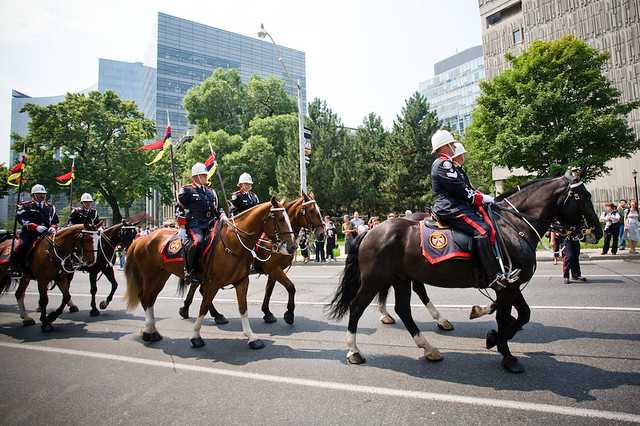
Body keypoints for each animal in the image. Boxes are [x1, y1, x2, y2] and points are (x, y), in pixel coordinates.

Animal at [124, 198, 296, 348]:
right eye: (280, 218)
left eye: (288, 217)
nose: (293, 246)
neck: (234, 242)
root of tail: (141, 239)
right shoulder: (214, 283)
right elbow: (203, 307)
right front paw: (195, 336)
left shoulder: (242, 281)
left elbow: (244, 308)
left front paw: (252, 337)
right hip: (150, 276)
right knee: (146, 298)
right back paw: (150, 331)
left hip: (161, 275)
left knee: (150, 299)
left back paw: (154, 330)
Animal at [178, 194, 322, 326]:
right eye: (311, 210)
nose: (322, 233)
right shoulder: (273, 269)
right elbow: (290, 287)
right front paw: (289, 314)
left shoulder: (274, 270)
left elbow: (269, 290)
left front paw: (267, 312)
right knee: (200, 288)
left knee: (198, 287)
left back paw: (187, 310)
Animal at [328, 171, 604, 372]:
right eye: (583, 196)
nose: (597, 231)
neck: (514, 226)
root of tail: (370, 230)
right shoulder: (506, 285)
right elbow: (506, 316)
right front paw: (505, 353)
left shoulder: (511, 285)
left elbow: (522, 314)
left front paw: (494, 336)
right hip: (374, 279)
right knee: (357, 307)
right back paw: (354, 352)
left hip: (401, 279)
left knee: (404, 309)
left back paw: (429, 346)